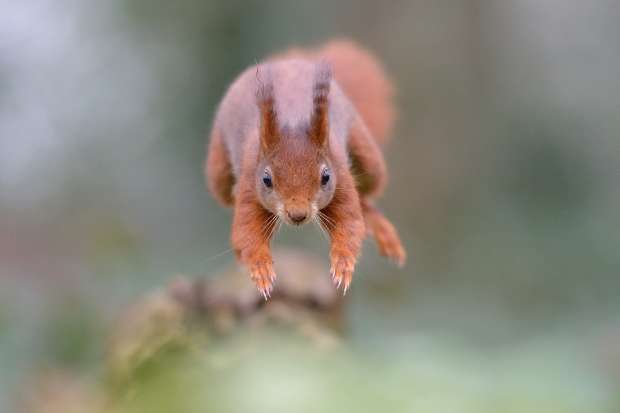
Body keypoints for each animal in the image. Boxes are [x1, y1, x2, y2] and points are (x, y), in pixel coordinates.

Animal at [206, 39, 404, 296]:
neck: (292, 121)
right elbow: (247, 232)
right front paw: (261, 270)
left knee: (366, 194)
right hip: (219, 172)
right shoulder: (249, 184)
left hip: (369, 160)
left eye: (326, 177)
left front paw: (343, 265)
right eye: (266, 180)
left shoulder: (341, 176)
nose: (298, 214)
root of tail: (288, 61)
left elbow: (350, 223)